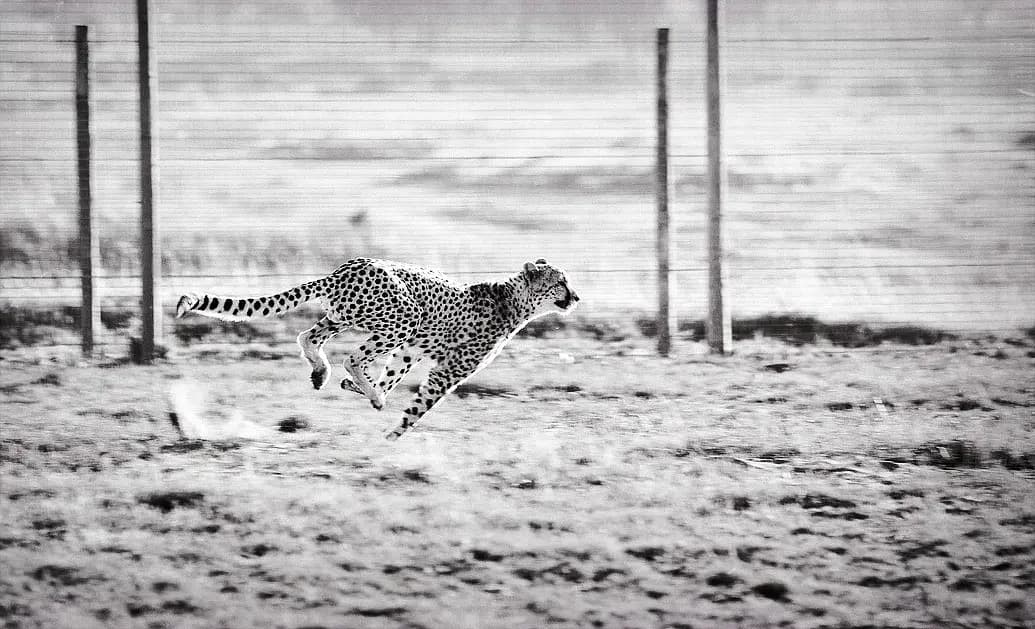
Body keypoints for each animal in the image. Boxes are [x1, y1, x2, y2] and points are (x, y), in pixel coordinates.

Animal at [175, 257, 579, 440]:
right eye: (561, 281)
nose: (576, 296)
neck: (514, 300)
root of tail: (347, 267)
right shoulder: (446, 371)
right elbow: (418, 408)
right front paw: (391, 436)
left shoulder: (411, 350)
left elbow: (393, 376)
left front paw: (365, 392)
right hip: (404, 316)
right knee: (351, 356)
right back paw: (360, 386)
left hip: (346, 317)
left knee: (309, 336)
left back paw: (324, 373)